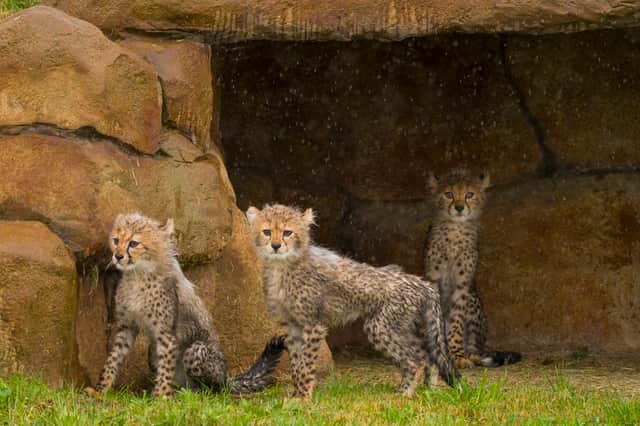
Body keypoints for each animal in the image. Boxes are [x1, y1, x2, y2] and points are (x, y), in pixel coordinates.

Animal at [85, 213, 285, 398]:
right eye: (116, 240)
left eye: (133, 243)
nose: (118, 256)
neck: (138, 274)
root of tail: (226, 376)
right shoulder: (127, 327)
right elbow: (113, 359)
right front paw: (100, 390)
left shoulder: (166, 334)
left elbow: (165, 369)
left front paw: (161, 397)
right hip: (153, 351)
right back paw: (179, 393)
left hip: (196, 351)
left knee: (214, 389)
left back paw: (194, 394)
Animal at [246, 204, 459, 400]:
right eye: (267, 232)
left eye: (287, 232)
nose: (275, 246)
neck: (282, 266)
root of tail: (421, 282)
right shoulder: (292, 326)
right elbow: (296, 363)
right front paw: (296, 395)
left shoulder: (313, 325)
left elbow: (306, 363)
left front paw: (304, 397)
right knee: (428, 354)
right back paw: (428, 389)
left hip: (381, 326)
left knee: (417, 357)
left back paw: (405, 393)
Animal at [425, 168, 521, 369]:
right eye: (449, 194)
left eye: (469, 194)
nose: (459, 208)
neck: (455, 229)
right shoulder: (433, 279)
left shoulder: (463, 285)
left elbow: (456, 321)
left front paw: (457, 355)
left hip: (472, 299)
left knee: (476, 347)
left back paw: (472, 355)